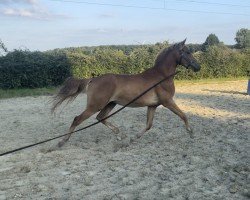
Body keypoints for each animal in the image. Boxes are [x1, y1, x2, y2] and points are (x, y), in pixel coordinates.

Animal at [51, 40, 200, 147]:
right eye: (187, 52)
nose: (198, 67)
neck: (161, 76)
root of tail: (93, 79)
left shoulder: (153, 105)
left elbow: (148, 125)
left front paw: (132, 139)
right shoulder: (167, 102)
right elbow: (183, 115)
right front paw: (191, 133)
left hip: (110, 104)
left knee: (101, 118)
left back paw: (119, 135)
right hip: (95, 105)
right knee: (78, 119)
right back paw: (62, 142)